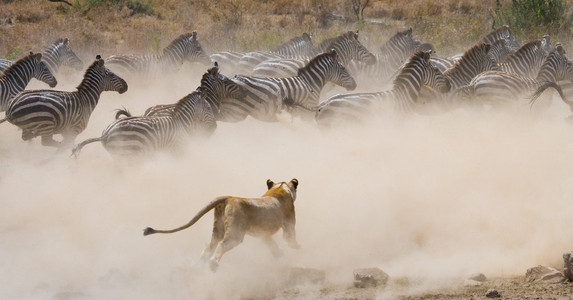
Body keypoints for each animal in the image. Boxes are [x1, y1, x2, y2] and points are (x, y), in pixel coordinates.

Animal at [217, 48, 356, 122]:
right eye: (343, 68)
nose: (355, 85)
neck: (309, 83)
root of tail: (232, 77)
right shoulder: (306, 111)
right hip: (235, 111)